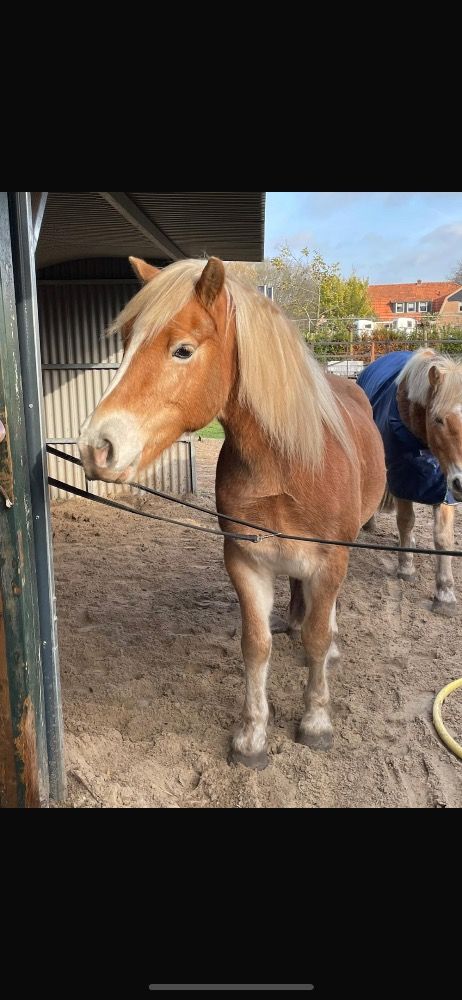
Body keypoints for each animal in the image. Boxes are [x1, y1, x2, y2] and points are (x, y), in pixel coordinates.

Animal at [78, 256, 385, 769]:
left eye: (182, 350)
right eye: (125, 344)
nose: (96, 447)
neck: (288, 465)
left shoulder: (329, 562)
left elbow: (318, 640)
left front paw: (316, 723)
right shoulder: (246, 561)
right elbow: (256, 646)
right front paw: (252, 737)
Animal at [357, 348, 462, 614]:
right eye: (438, 420)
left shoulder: (443, 488)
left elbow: (443, 537)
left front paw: (445, 594)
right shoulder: (401, 479)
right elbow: (405, 521)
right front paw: (406, 568)